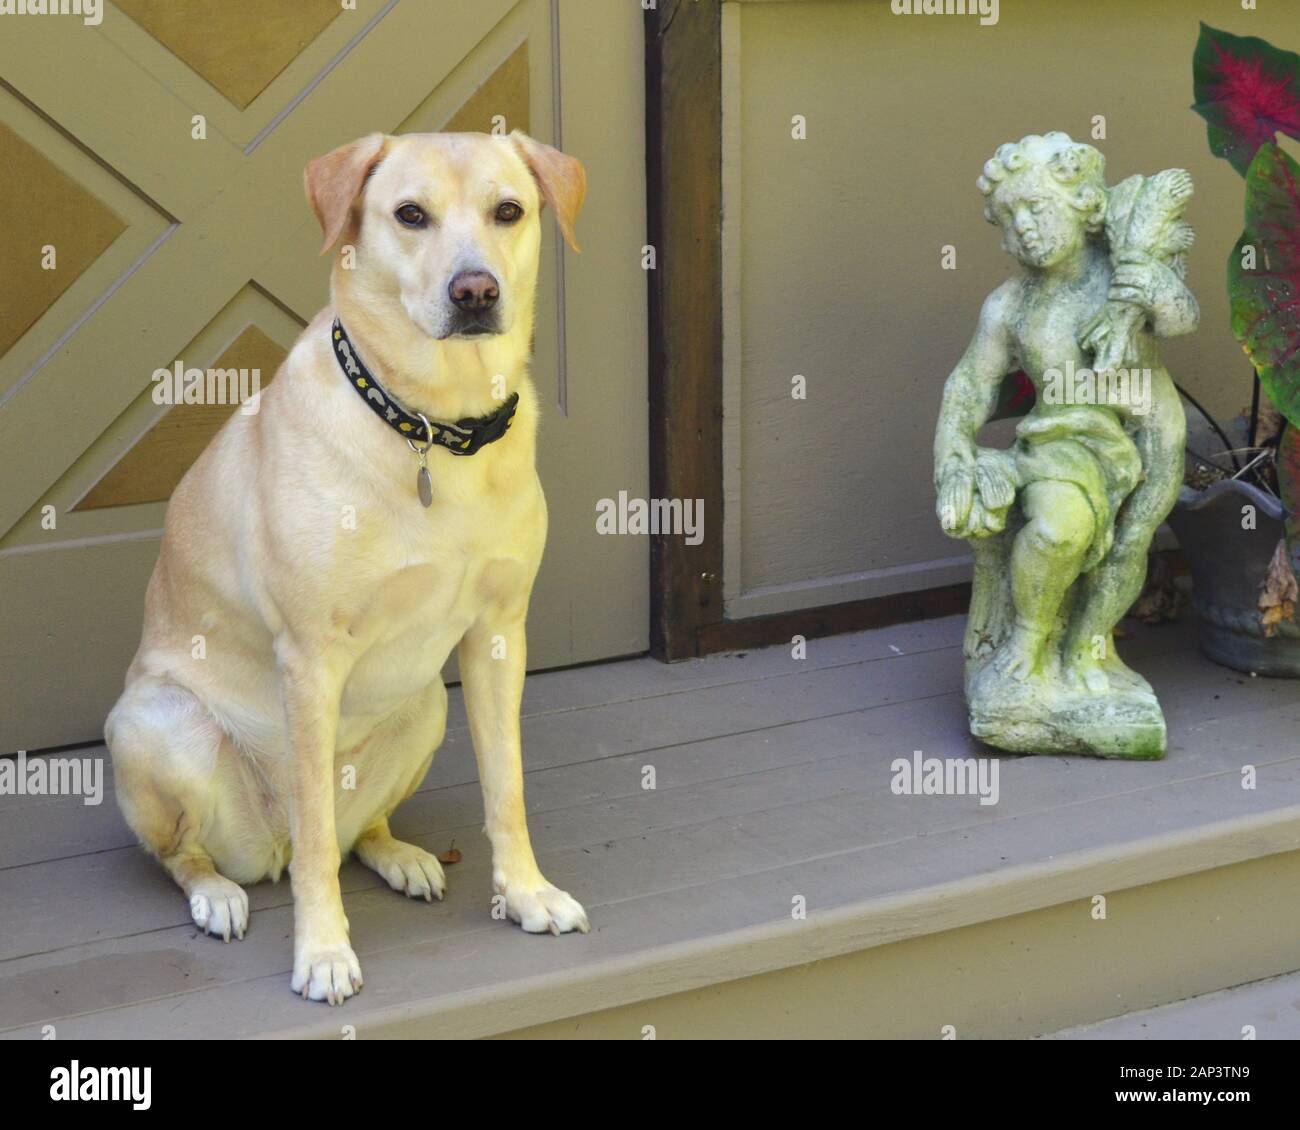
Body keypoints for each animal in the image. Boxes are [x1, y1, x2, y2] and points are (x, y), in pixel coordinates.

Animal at [105, 131, 590, 1003]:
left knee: (354, 829)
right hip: (160, 722)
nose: (476, 291)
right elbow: (313, 852)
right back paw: (218, 893)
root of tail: (264, 848)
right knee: (215, 852)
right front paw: (323, 950)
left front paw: (527, 894)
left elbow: (507, 789)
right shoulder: (310, 658)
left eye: (509, 210)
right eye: (410, 215)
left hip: (427, 702)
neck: (433, 425)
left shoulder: (500, 635)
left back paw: (399, 856)